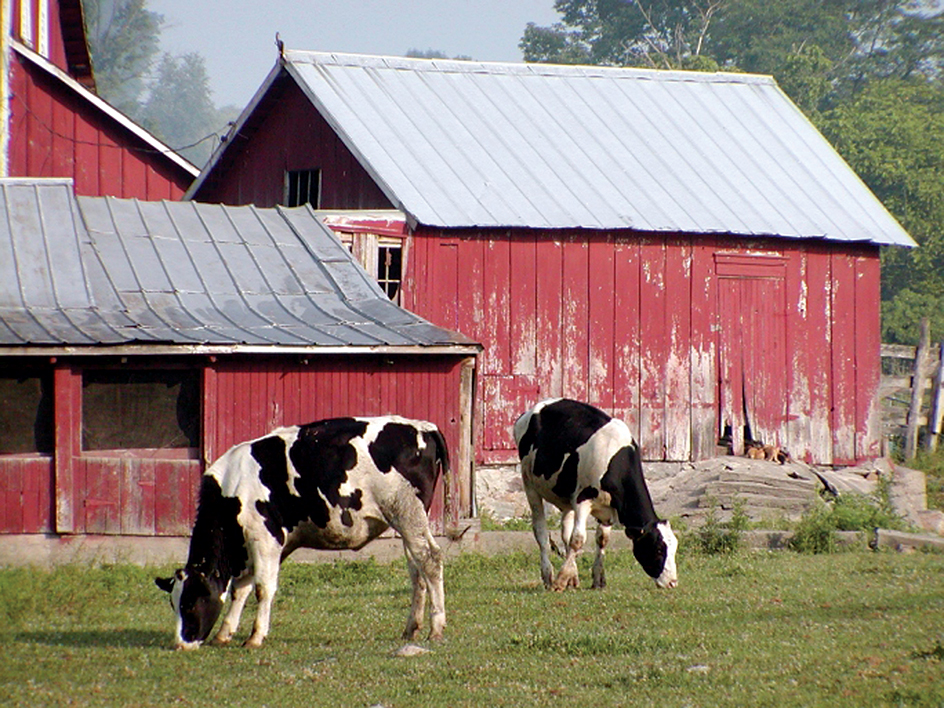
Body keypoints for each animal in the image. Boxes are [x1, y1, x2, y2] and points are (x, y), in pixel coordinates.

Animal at [155, 414, 450, 652]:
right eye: (172, 604)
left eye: (190, 604)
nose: (180, 644)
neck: (232, 490)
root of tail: (423, 427)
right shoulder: (251, 548)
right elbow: (241, 589)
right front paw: (224, 633)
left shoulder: (265, 538)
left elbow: (262, 588)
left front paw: (255, 636)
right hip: (409, 518)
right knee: (416, 568)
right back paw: (411, 628)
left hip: (407, 513)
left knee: (430, 560)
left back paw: (436, 628)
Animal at [516, 398, 680, 592]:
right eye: (658, 549)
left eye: (675, 548)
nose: (672, 582)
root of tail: (532, 410)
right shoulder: (582, 499)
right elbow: (578, 539)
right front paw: (560, 581)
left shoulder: (607, 507)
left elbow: (601, 539)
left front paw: (598, 579)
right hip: (529, 484)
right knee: (541, 532)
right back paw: (548, 576)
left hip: (566, 496)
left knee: (565, 532)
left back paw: (573, 577)